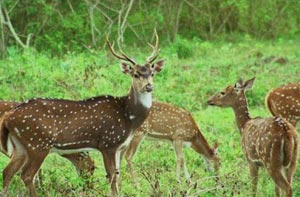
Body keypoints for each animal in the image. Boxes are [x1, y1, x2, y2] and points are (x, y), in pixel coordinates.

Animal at [0, 34, 164, 197]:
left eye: (152, 73)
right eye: (136, 74)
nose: (149, 86)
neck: (129, 118)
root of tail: (7, 117)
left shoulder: (119, 146)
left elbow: (117, 175)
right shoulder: (108, 143)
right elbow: (111, 176)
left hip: (20, 146)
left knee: (7, 172)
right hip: (38, 143)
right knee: (27, 175)